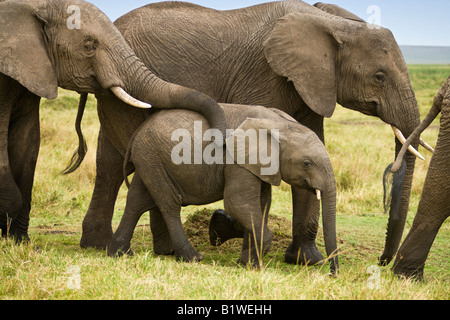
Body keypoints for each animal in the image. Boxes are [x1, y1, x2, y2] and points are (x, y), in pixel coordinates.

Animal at [107, 104, 338, 272]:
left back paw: (119, 253)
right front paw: (250, 265)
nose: (332, 273)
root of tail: (139, 130)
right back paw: (192, 258)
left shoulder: (258, 166)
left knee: (137, 201)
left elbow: (260, 206)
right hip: (152, 156)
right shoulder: (237, 161)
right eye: (307, 163)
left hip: (148, 157)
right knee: (169, 203)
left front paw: (245, 262)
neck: (279, 124)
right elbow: (239, 204)